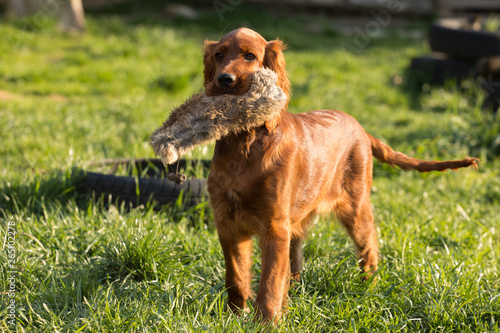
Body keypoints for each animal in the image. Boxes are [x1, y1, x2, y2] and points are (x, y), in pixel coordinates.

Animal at [202, 27, 476, 320]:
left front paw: (266, 321)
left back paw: (369, 289)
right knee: (294, 260)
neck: (245, 144)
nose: (223, 80)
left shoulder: (274, 226)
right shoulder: (227, 221)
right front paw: (233, 315)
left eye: (250, 56)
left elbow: (270, 280)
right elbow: (236, 276)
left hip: (356, 207)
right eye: (218, 56)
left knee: (369, 248)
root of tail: (362, 129)